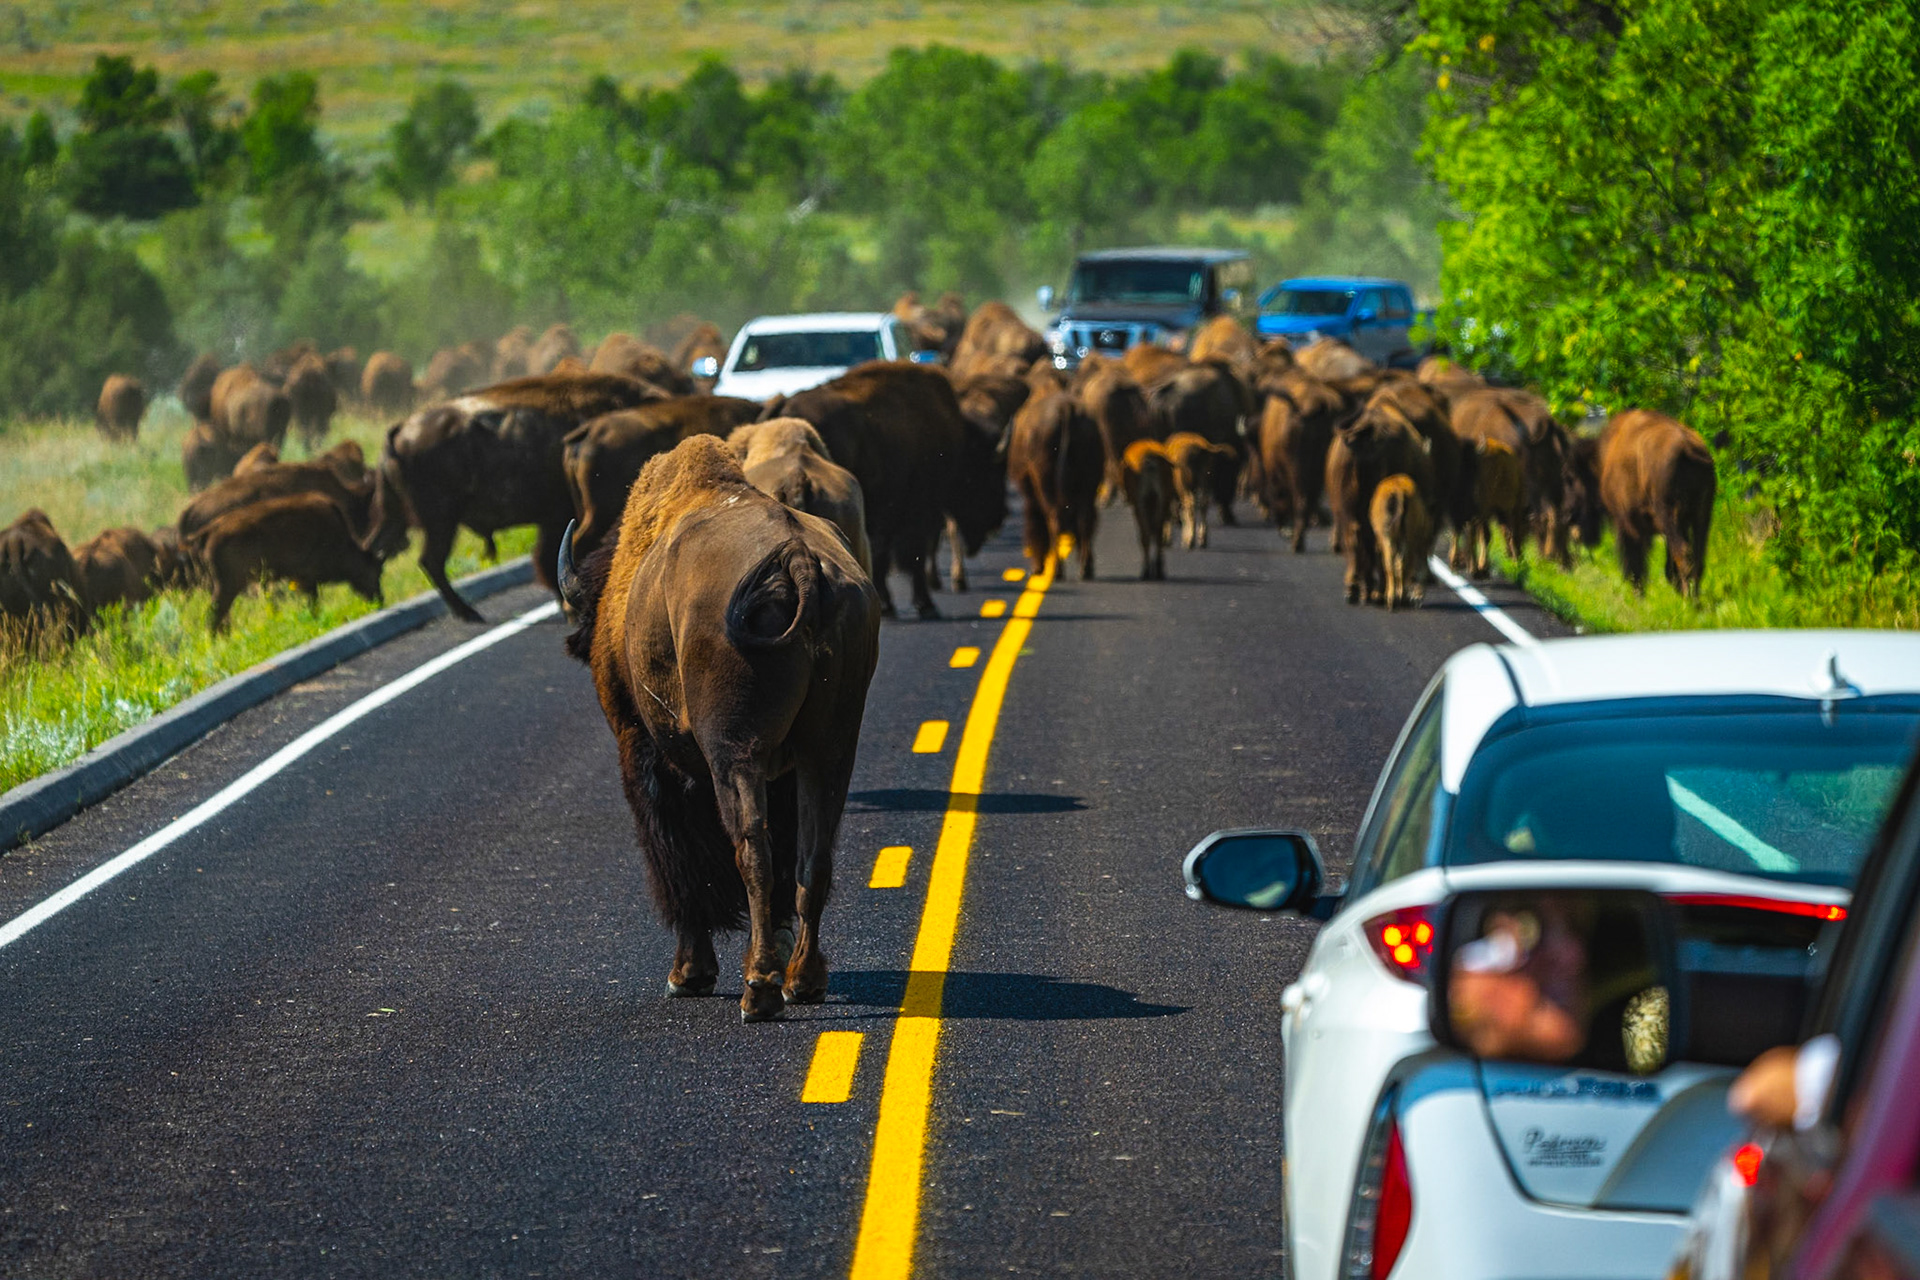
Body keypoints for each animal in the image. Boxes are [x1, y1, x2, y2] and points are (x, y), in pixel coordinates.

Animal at [558, 435, 881, 1022]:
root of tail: (798, 561)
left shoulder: (645, 754)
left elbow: (676, 859)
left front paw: (688, 975)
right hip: (829, 749)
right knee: (813, 856)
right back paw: (802, 980)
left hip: (735, 754)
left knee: (752, 851)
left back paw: (759, 991)